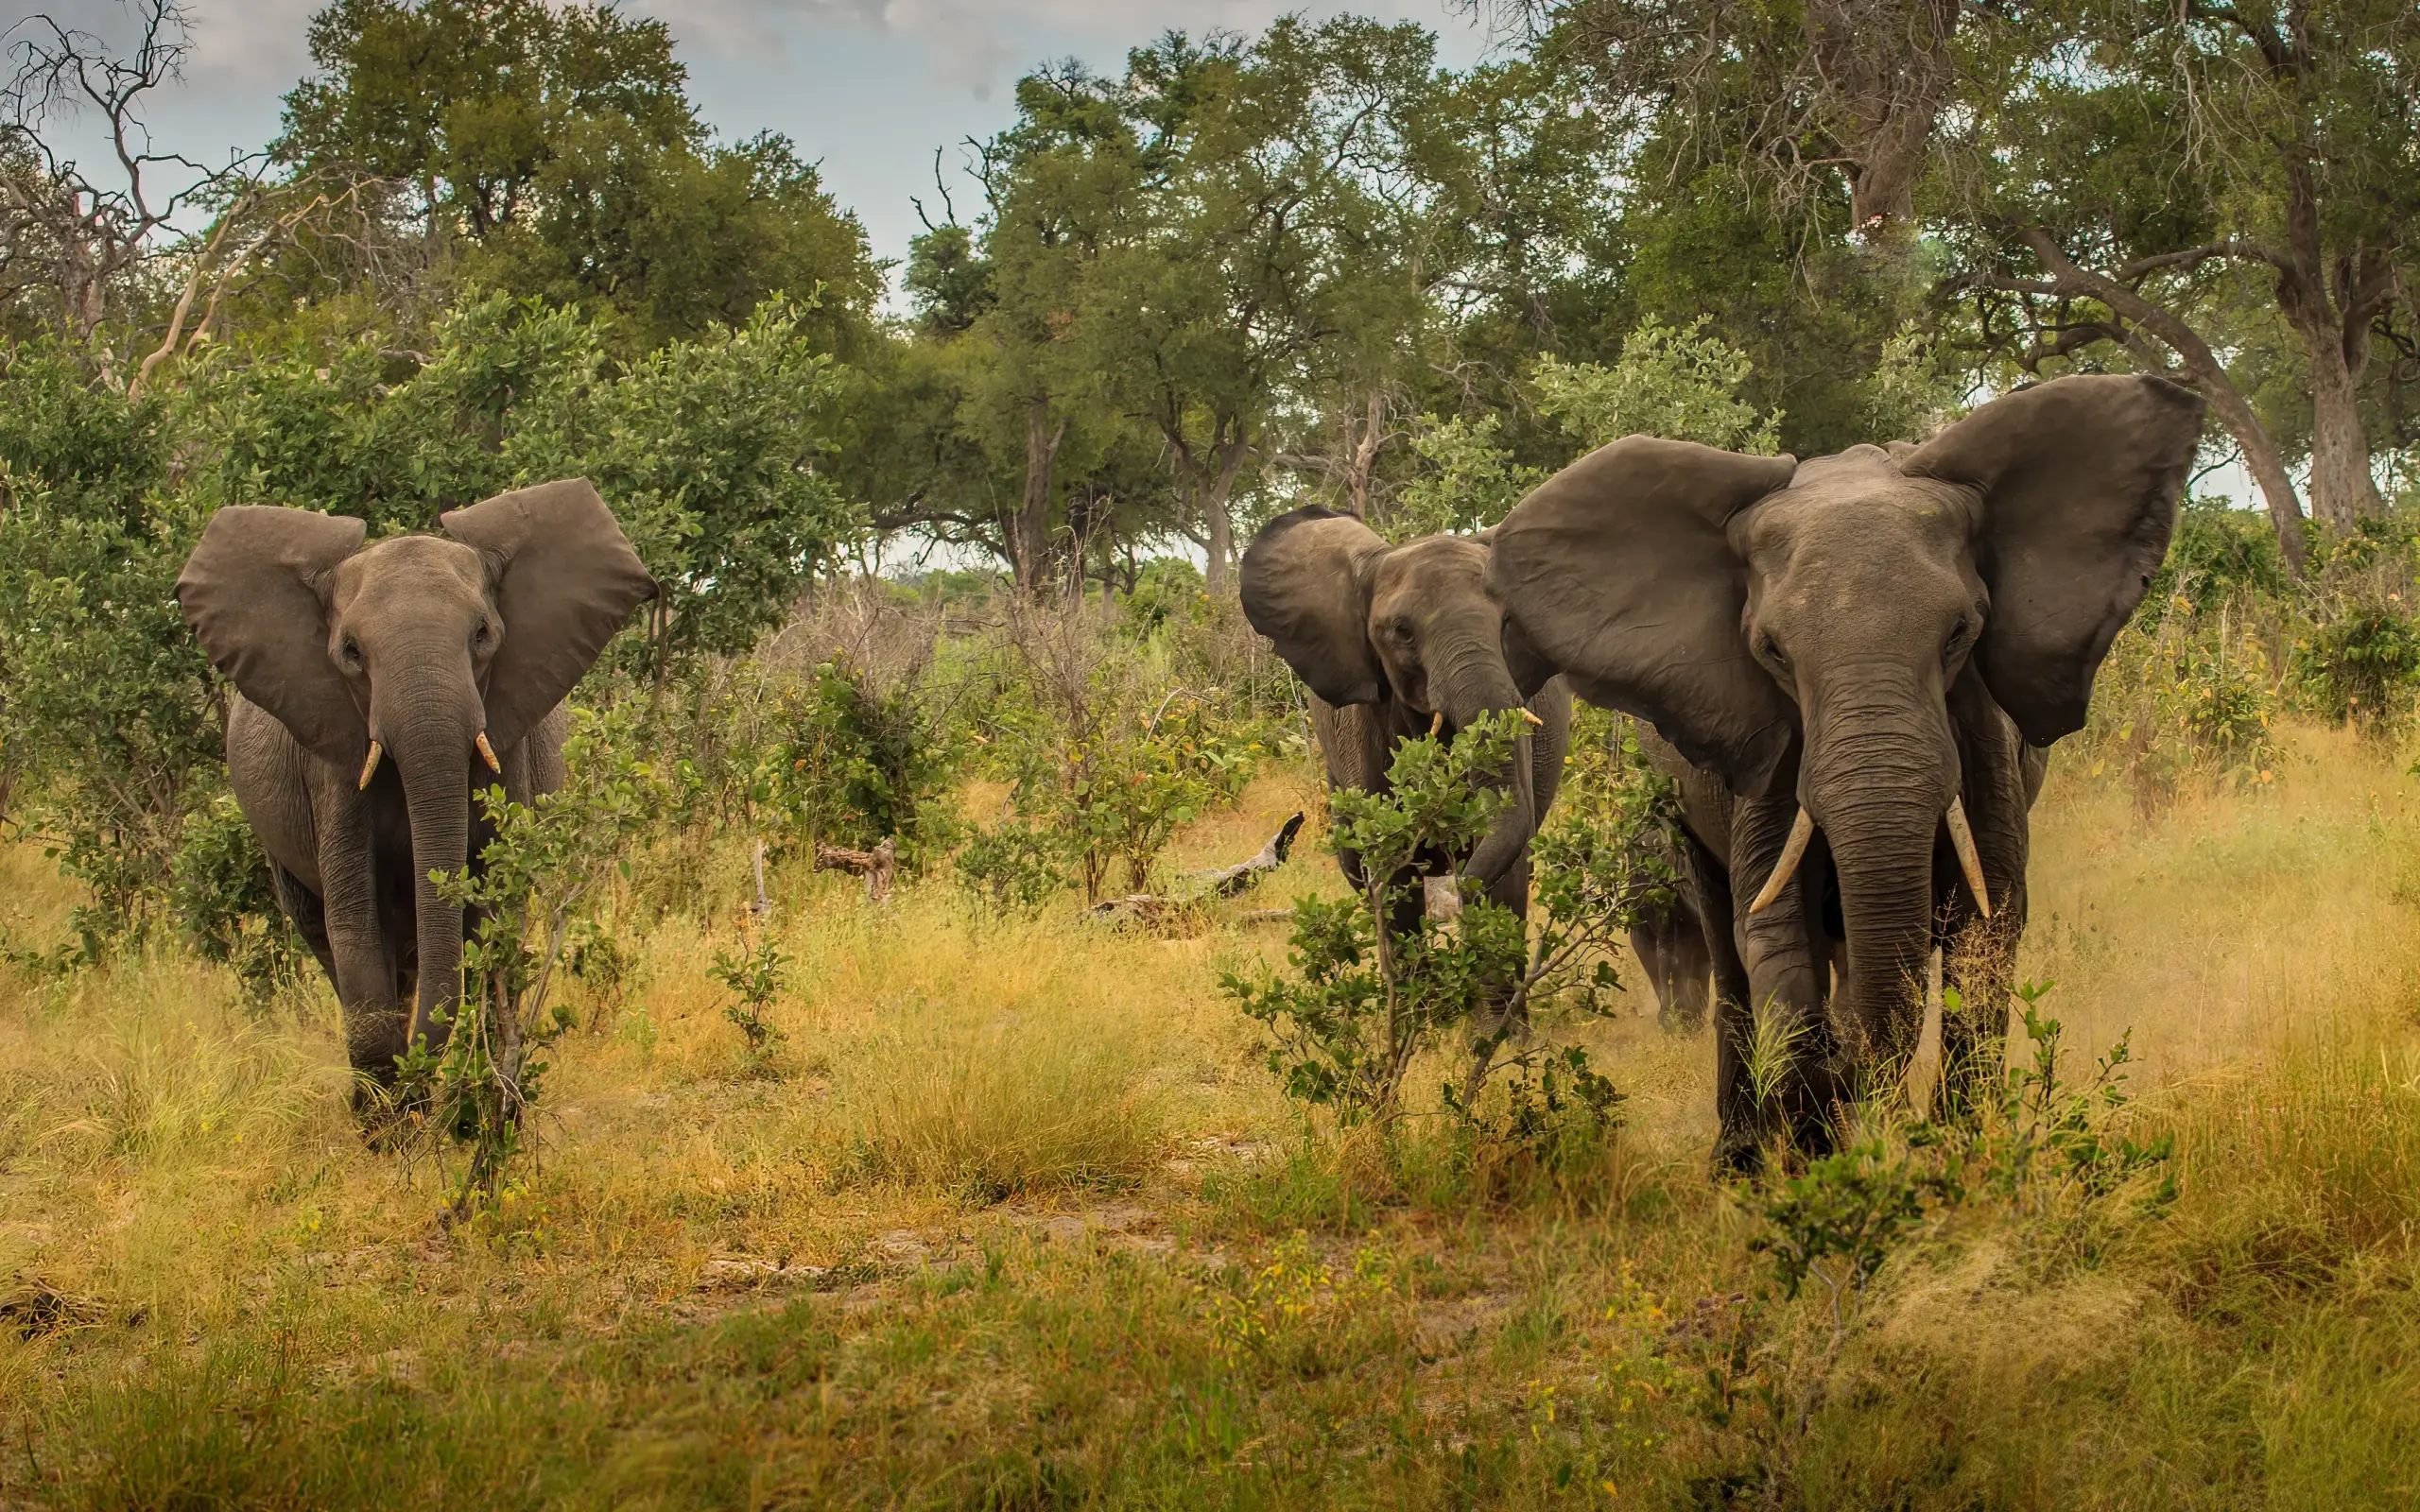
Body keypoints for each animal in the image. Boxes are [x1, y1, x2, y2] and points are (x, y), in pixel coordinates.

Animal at [176, 479, 656, 1102]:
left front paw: (474, 1102)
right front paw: (392, 1114)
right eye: (351, 652)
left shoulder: (510, 746)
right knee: (324, 934)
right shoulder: (331, 758)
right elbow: (353, 916)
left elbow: (497, 906)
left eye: (482, 635)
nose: (418, 1086)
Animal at [1239, 507, 1573, 1048]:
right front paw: (1425, 1023)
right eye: (1402, 631)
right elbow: (1390, 864)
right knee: (1354, 867)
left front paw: (1500, 1040)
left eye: (1508, 624)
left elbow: (1507, 861)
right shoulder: (1365, 722)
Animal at [1486, 374, 2204, 1164]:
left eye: (1960, 635)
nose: (1841, 1065)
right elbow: (1776, 934)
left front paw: (1955, 1160)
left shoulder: (1982, 730)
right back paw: (1741, 1159)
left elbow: (1987, 929)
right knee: (1729, 950)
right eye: (1770, 651)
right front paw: (1819, 1152)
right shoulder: (1769, 753)